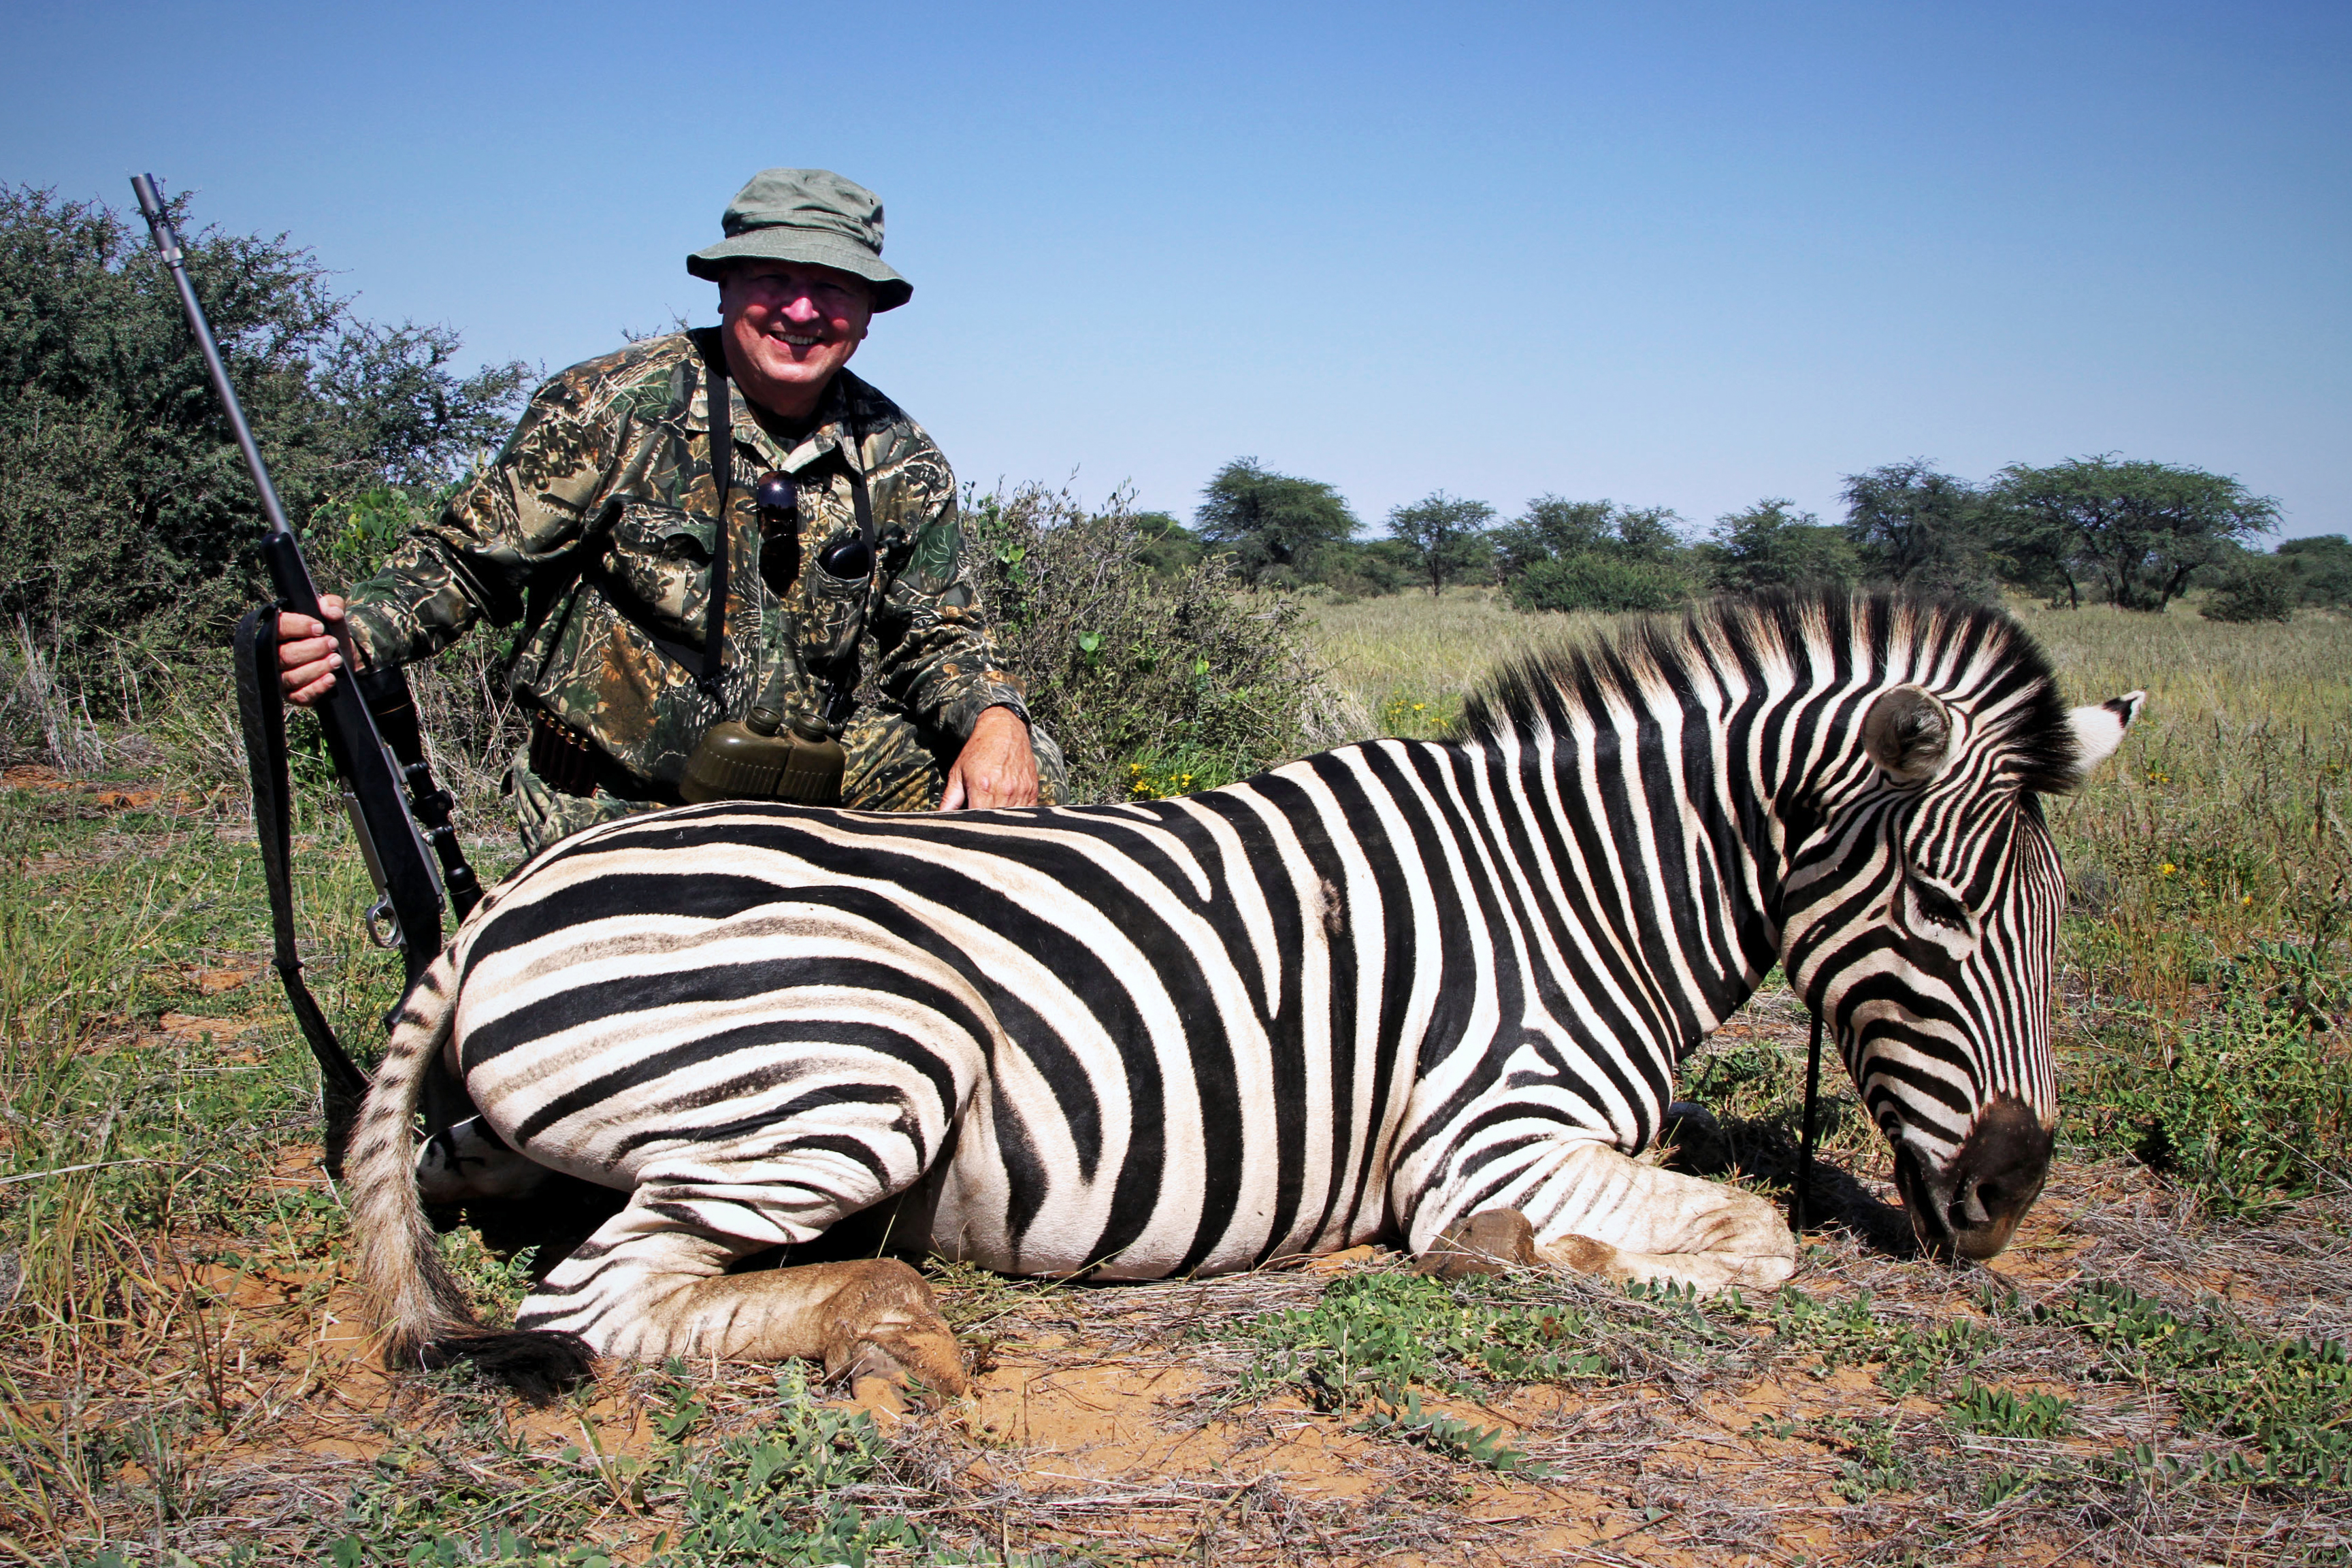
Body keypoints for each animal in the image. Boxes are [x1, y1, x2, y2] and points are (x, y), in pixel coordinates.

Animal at [343, 592, 2136, 1401]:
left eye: (2060, 919)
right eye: (1940, 907)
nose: (2008, 1198)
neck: (1576, 888)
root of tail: (507, 896)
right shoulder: (1487, 1140)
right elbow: (1752, 1237)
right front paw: (1534, 1256)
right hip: (866, 1064)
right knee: (586, 1310)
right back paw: (890, 1319)